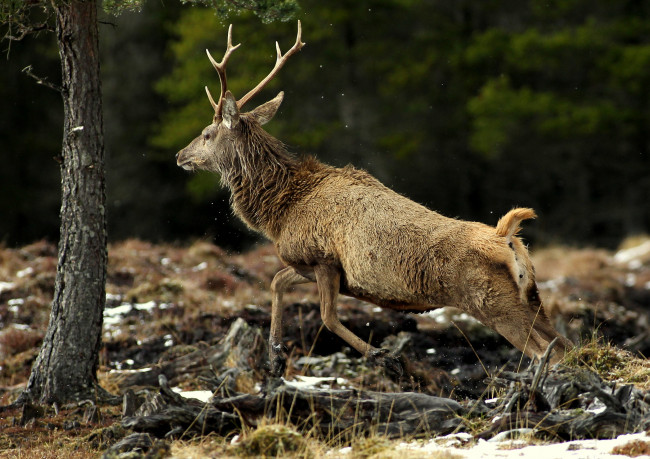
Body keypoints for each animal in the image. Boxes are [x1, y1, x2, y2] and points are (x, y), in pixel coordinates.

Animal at [175, 21, 568, 380]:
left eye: (207, 133)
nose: (180, 155)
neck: (280, 212)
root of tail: (508, 238)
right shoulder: (310, 265)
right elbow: (277, 281)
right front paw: (274, 356)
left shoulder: (322, 258)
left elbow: (327, 317)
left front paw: (385, 356)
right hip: (532, 297)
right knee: (563, 344)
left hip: (493, 302)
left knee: (545, 352)